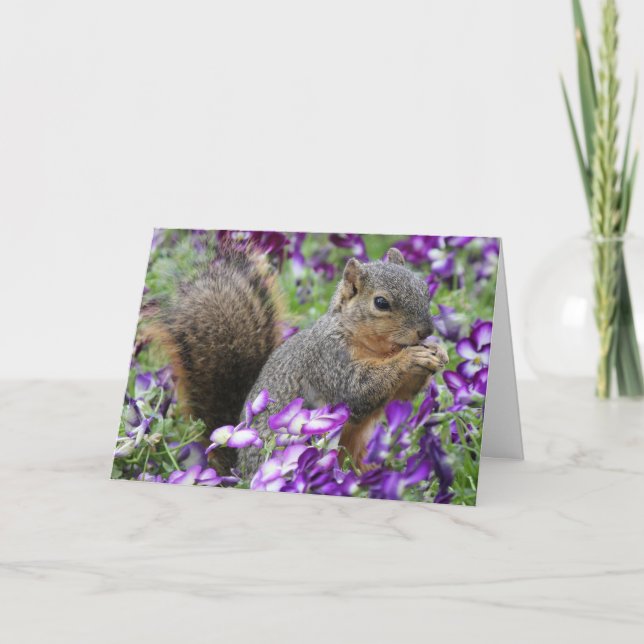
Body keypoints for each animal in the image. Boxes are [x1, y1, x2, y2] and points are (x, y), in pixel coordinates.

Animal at [146, 243, 449, 478]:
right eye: (381, 303)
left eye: (425, 289)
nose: (426, 331)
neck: (377, 349)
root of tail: (237, 471)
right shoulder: (328, 360)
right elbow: (357, 390)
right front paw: (412, 356)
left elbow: (400, 397)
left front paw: (437, 351)